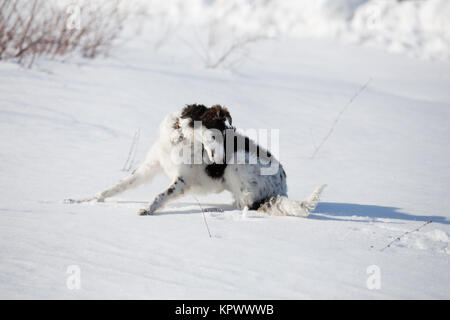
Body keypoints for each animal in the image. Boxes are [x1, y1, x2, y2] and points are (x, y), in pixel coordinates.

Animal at [68, 104, 326, 216]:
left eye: (226, 136)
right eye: (216, 134)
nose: (219, 161)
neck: (181, 137)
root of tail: (282, 189)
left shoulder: (182, 180)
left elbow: (160, 195)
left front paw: (147, 210)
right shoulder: (150, 166)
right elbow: (114, 187)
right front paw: (81, 200)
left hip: (239, 164)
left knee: (246, 205)